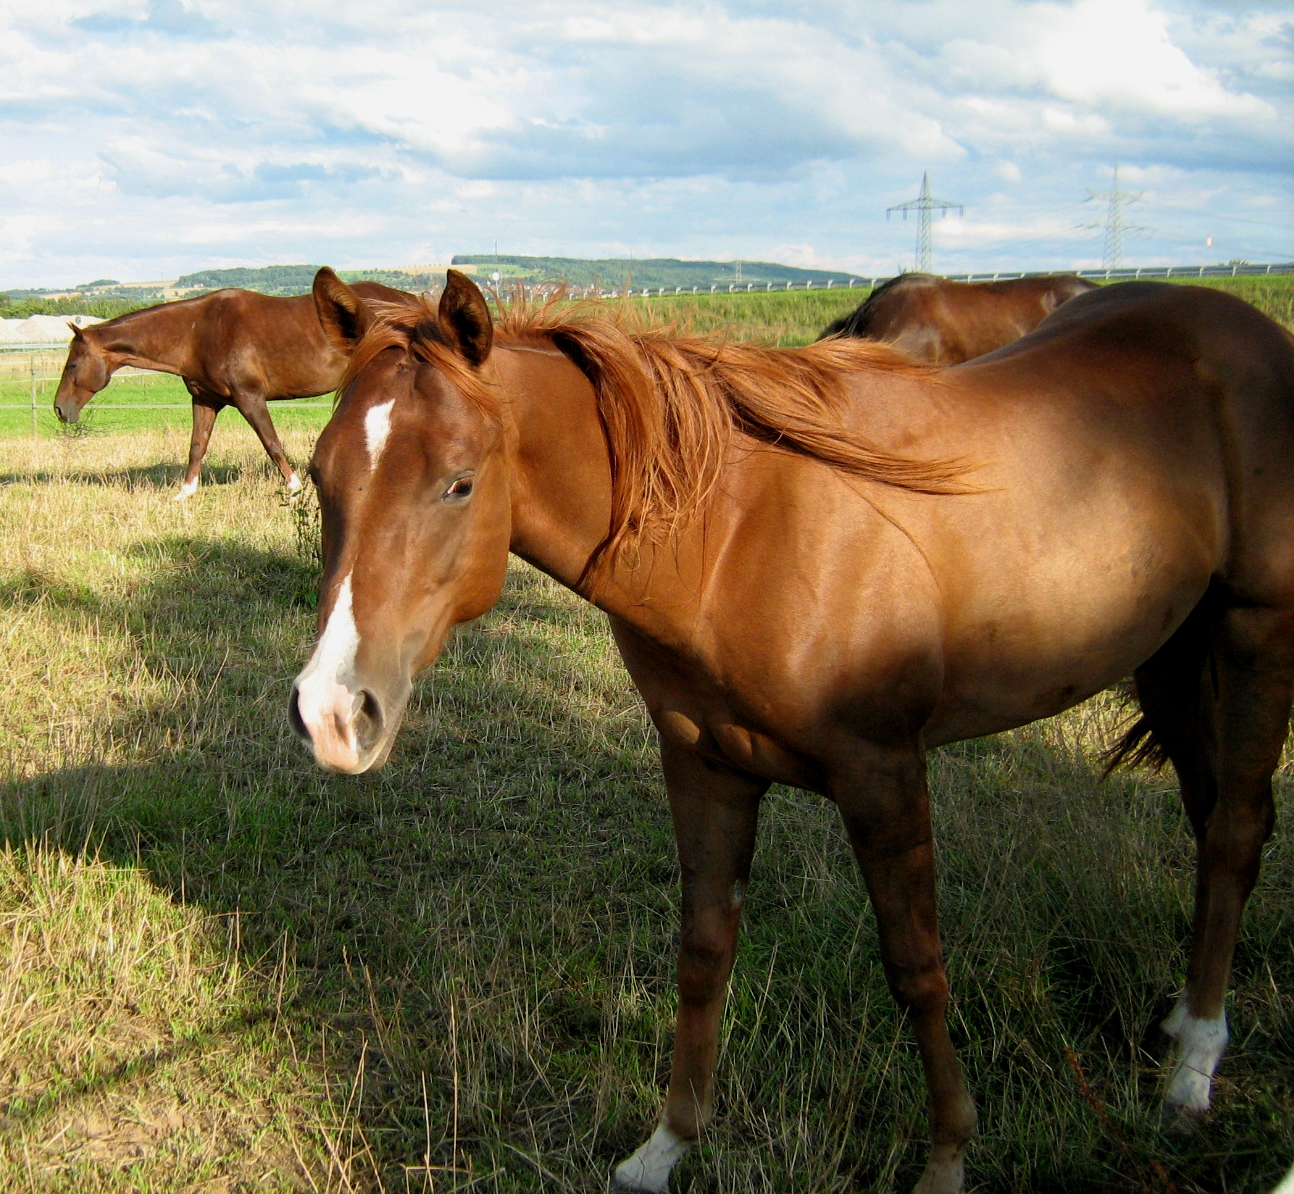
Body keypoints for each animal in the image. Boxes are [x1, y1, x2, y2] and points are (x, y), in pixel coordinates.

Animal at [53, 269, 408, 496]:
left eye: (73, 364)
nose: (59, 409)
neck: (197, 332)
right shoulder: (205, 400)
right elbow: (197, 445)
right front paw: (185, 492)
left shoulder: (249, 397)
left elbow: (271, 441)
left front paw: (294, 486)